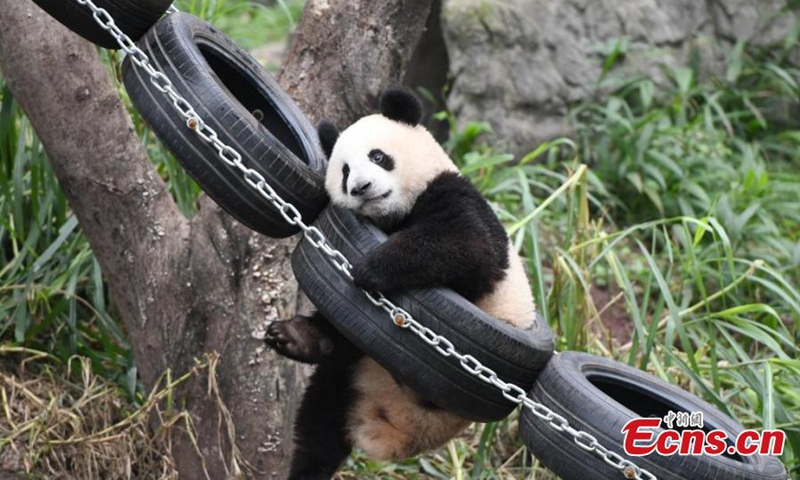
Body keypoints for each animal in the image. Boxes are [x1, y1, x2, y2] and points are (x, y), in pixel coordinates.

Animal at [265, 88, 537, 480]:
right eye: (344, 171)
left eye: (378, 156)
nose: (361, 188)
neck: (394, 214)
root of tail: (387, 431)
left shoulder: (454, 194)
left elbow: (466, 244)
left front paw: (371, 267)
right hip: (349, 376)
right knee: (320, 423)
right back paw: (297, 339)